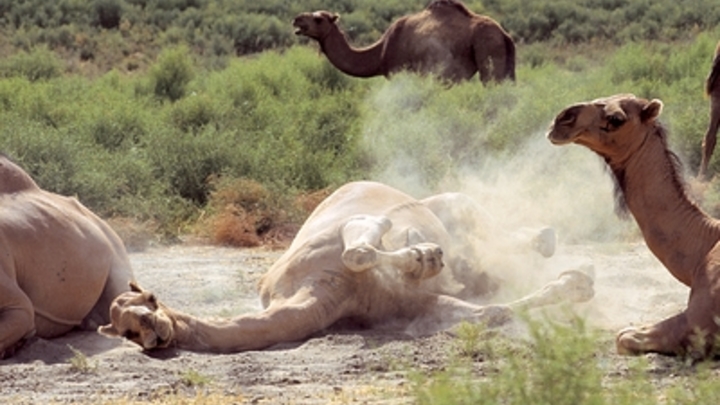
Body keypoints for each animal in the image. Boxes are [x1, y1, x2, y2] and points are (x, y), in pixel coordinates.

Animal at [98, 181, 592, 352]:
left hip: (458, 206)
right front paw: (578, 282)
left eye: (150, 300)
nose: (154, 335)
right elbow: (492, 312)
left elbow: (363, 246)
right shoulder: (414, 306)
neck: (330, 293)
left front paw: (421, 253)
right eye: (124, 329)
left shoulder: (347, 232)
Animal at [290, 0, 516, 84]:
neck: (380, 52)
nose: (297, 19)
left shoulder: (398, 73)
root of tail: (504, 34)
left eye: (319, 19)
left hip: (487, 47)